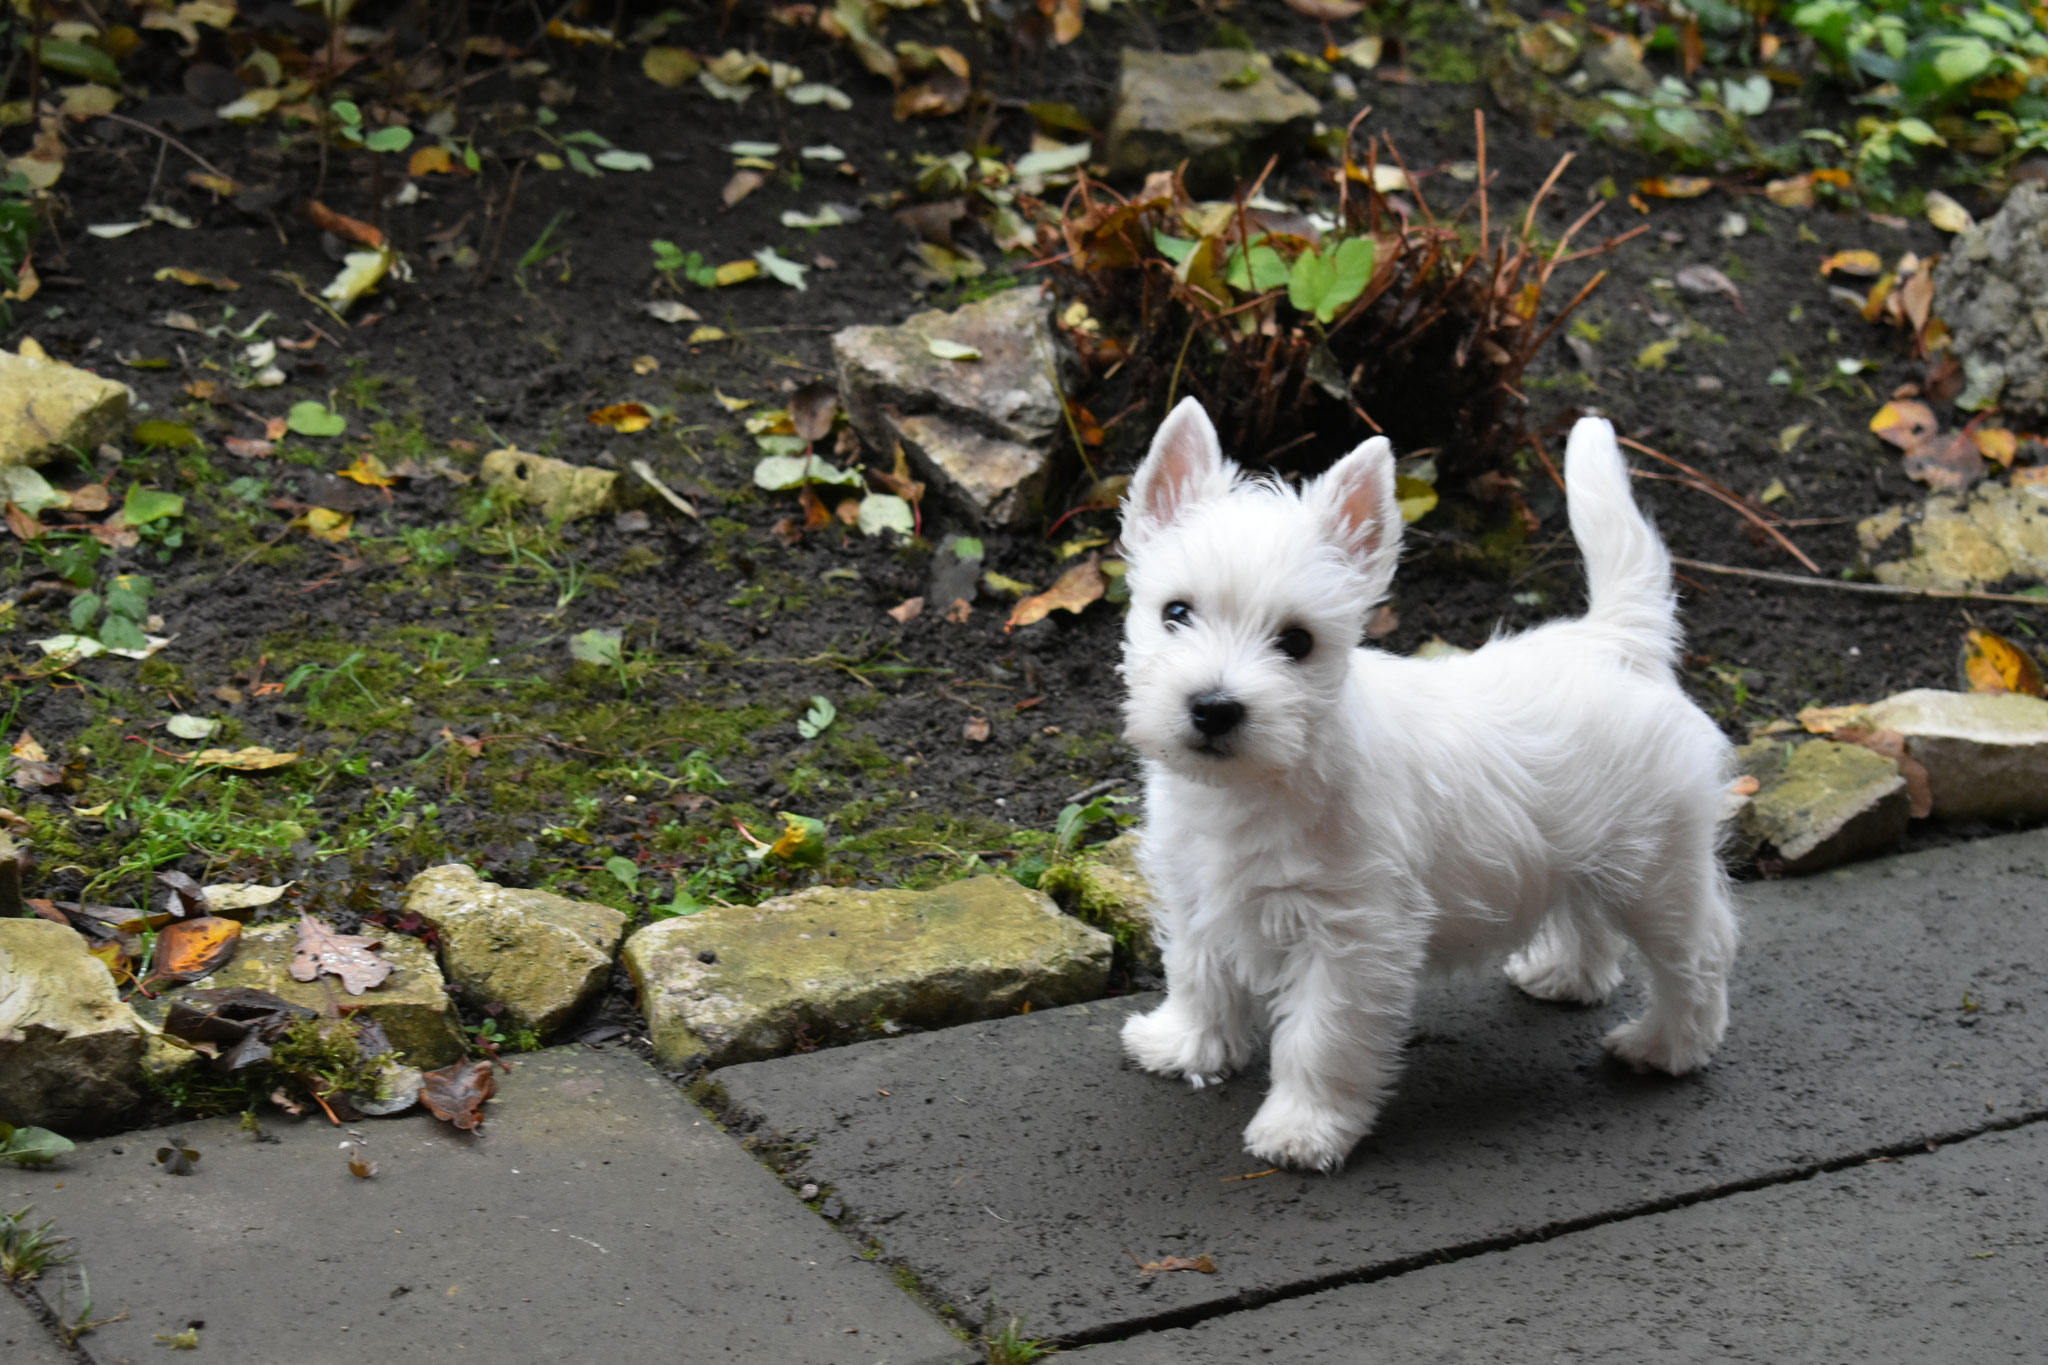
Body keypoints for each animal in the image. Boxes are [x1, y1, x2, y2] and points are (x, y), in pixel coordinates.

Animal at [1114, 397, 1736, 1178]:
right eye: (1176, 612)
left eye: (1297, 641)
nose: (1215, 707)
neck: (1255, 786)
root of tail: (1616, 640)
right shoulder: (1196, 893)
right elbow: (1198, 975)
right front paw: (1187, 1046)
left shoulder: (1352, 938)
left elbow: (1319, 1038)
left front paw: (1302, 1129)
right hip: (1580, 850)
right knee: (1588, 919)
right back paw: (1565, 975)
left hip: (1656, 871)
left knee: (1698, 954)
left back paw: (1665, 1046)